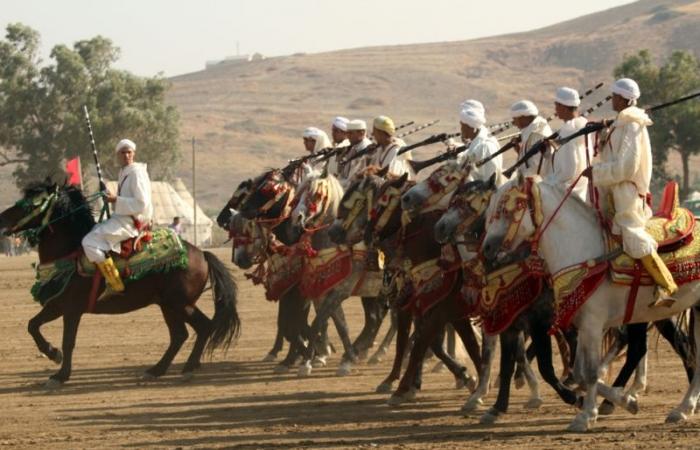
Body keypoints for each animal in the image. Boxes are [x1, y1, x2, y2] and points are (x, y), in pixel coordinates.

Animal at [0, 181, 241, 388]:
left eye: (33, 203)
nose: (2, 220)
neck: (70, 253)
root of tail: (202, 253)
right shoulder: (56, 305)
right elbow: (32, 325)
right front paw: (52, 353)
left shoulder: (71, 310)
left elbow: (68, 341)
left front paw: (60, 374)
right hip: (168, 305)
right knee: (179, 335)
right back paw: (156, 370)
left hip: (180, 303)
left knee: (203, 326)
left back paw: (188, 368)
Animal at [482, 173, 700, 432]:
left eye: (511, 208)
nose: (487, 249)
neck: (582, 251)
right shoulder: (579, 324)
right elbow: (579, 372)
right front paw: (622, 401)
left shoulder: (588, 324)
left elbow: (590, 371)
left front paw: (585, 415)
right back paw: (682, 408)